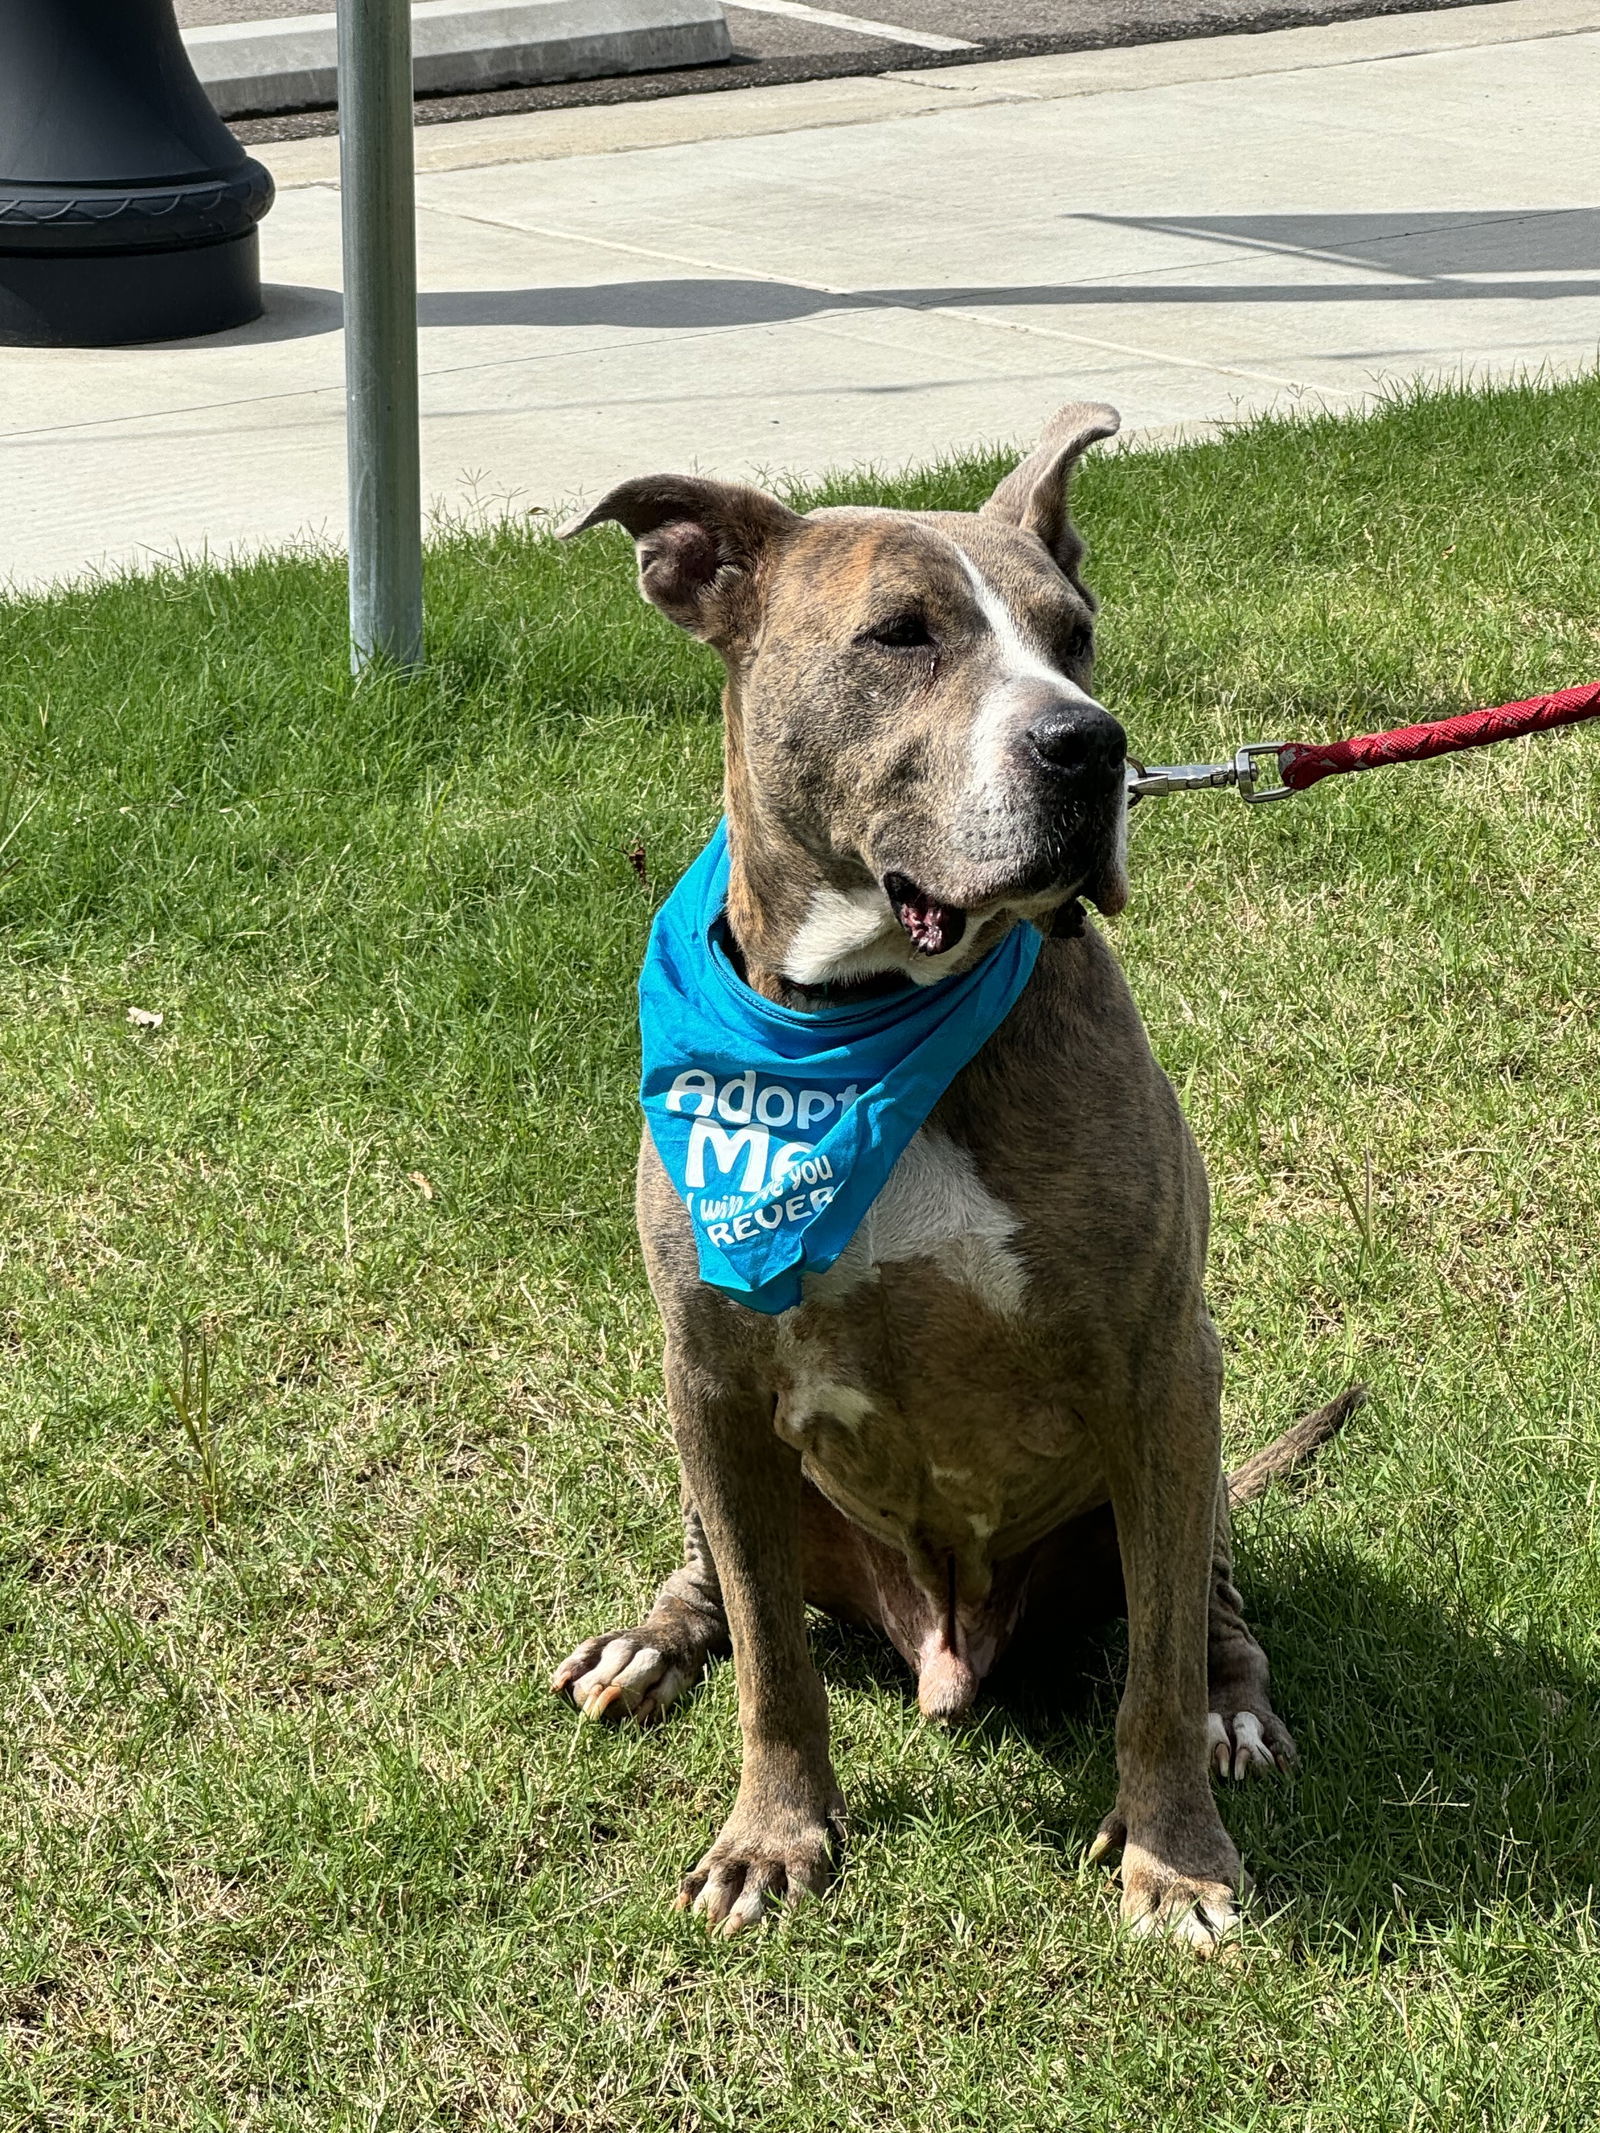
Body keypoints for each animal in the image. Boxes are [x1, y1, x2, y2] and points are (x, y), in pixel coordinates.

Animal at [550, 407, 1356, 1953]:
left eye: (1075, 636)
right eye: (901, 635)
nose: (1090, 746)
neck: (864, 1019)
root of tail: (944, 1638)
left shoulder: (1161, 1360)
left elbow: (1155, 1674)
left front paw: (1177, 1858)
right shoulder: (711, 1372)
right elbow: (773, 1666)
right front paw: (773, 1834)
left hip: (1181, 1458)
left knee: (1205, 1613)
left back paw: (1234, 1713)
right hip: (720, 1454)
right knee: (722, 1586)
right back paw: (653, 1639)